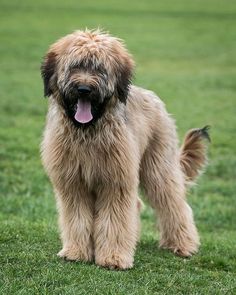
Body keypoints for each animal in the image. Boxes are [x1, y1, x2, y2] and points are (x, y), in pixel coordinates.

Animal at [41, 29, 210, 270]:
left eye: (99, 68)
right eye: (75, 66)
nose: (84, 89)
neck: (88, 131)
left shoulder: (116, 181)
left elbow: (115, 220)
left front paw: (113, 257)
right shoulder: (73, 183)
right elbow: (77, 219)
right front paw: (76, 252)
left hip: (158, 167)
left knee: (174, 205)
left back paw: (183, 245)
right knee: (139, 204)